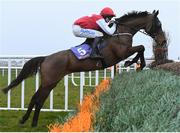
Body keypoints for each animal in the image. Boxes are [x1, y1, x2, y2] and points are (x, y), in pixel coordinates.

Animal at [1, 9, 167, 126]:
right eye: (158, 24)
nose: (163, 41)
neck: (120, 33)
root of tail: (46, 58)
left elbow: (140, 49)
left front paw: (134, 63)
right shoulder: (122, 52)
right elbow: (141, 48)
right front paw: (135, 63)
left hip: (49, 82)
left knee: (35, 97)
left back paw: (26, 120)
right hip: (50, 81)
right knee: (39, 99)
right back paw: (32, 122)